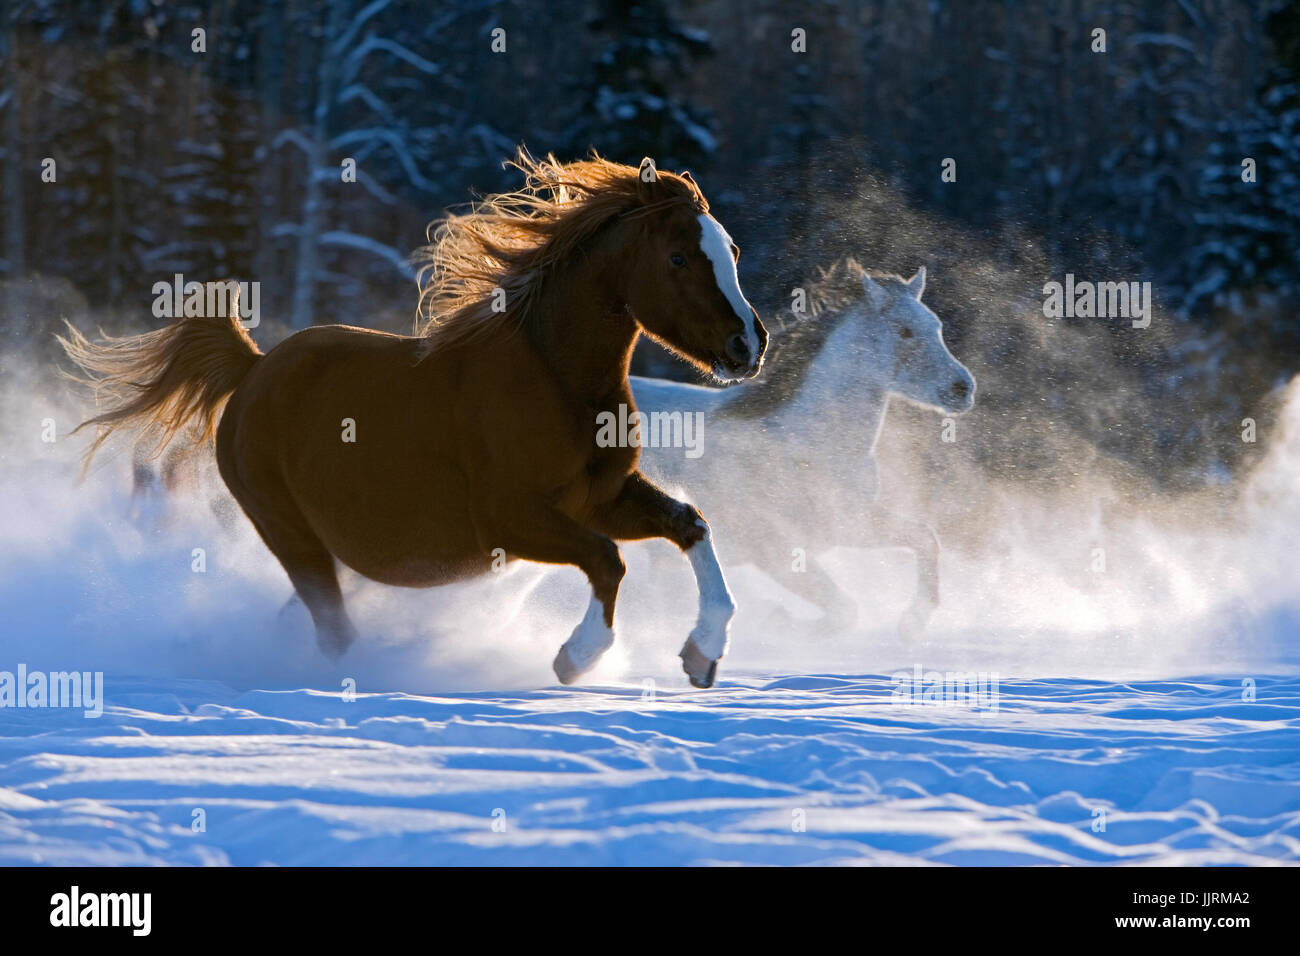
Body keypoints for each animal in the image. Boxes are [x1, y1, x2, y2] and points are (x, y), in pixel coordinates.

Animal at [61, 151, 764, 686]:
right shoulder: (510, 519)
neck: (554, 379)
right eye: (679, 257)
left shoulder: (601, 498)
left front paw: (702, 656)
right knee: (334, 631)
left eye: (730, 247)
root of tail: (253, 368)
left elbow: (690, 526)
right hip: (292, 536)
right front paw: (575, 658)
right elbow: (608, 561)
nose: (748, 346)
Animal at [629, 257, 977, 639]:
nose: (963, 389)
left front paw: (912, 624)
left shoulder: (852, 526)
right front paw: (779, 621)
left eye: (936, 326)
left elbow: (926, 539)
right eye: (904, 332)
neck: (808, 443)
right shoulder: (774, 550)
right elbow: (845, 610)